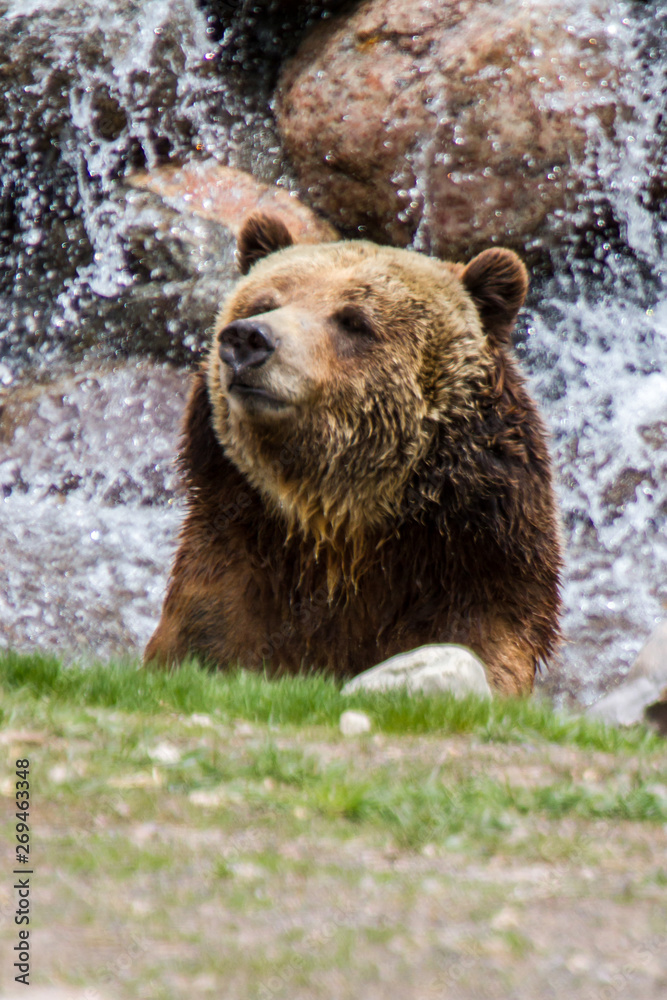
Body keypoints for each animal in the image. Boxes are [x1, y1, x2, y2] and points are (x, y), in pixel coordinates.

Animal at [144, 211, 562, 695]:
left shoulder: (474, 566)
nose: (249, 339)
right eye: (262, 303)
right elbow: (206, 633)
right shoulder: (232, 567)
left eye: (354, 320)